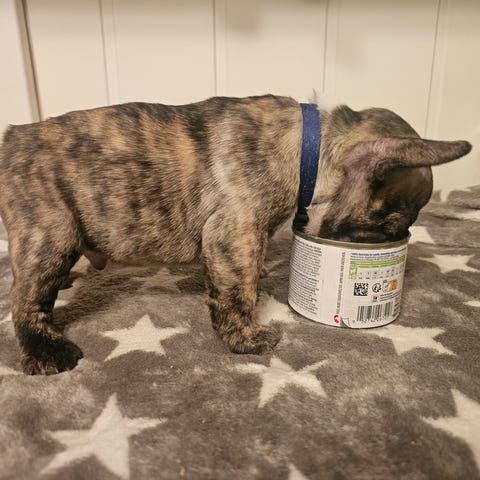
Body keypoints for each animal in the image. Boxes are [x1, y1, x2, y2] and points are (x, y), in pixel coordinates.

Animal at [0, 95, 471, 375]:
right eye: (388, 225)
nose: (398, 239)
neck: (313, 148)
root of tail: (12, 138)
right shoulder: (235, 233)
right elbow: (236, 290)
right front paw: (246, 338)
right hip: (51, 230)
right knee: (25, 299)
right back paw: (45, 350)